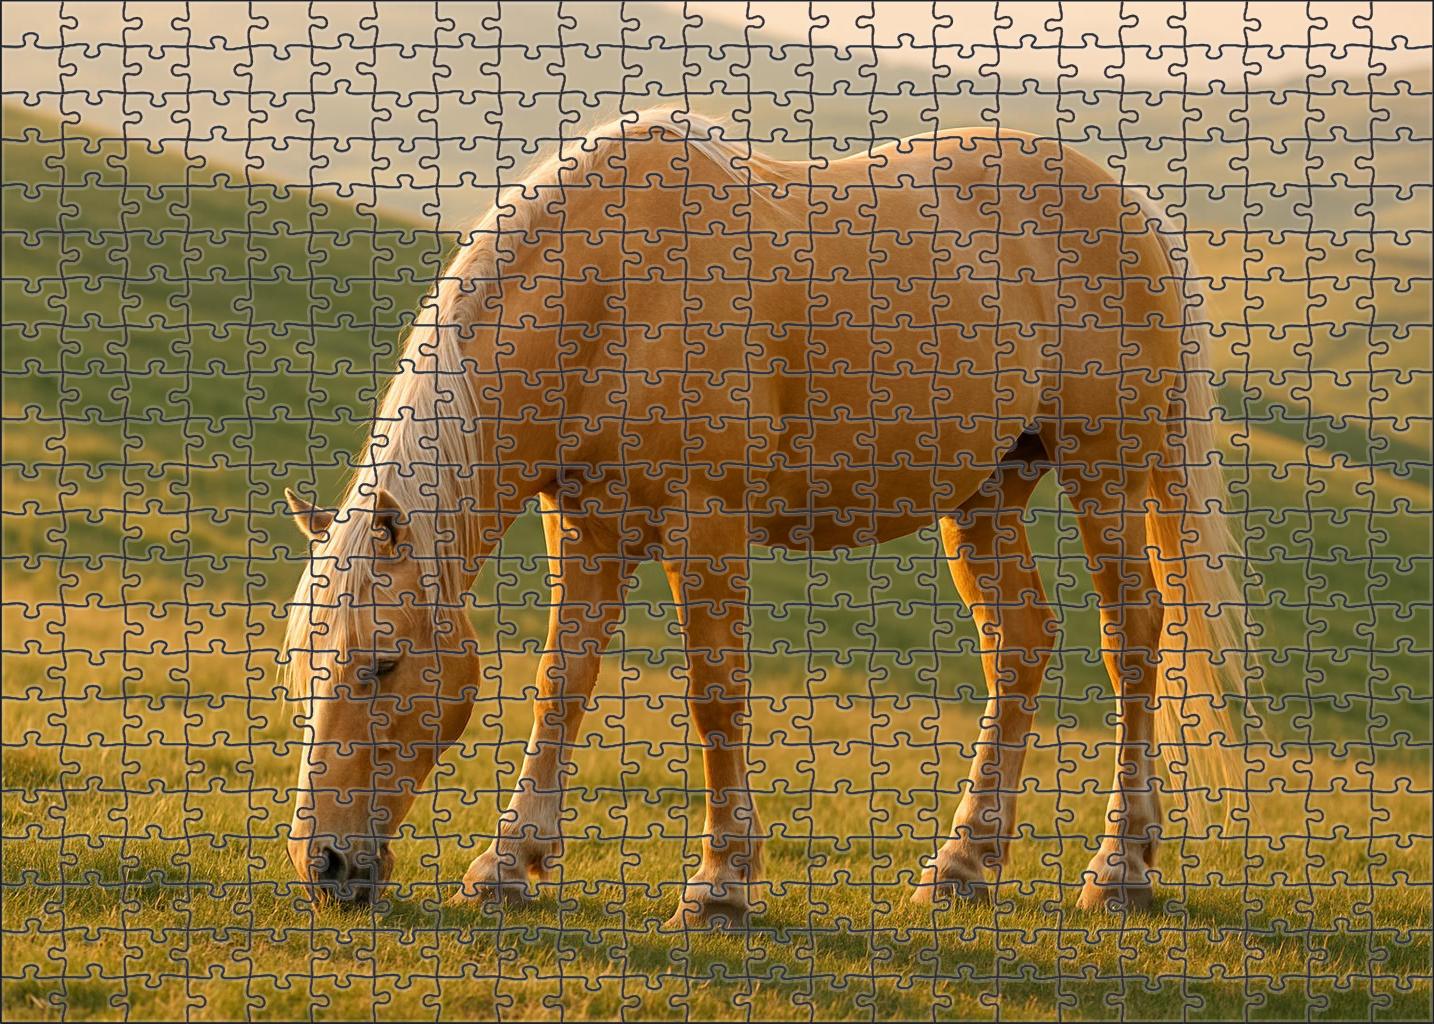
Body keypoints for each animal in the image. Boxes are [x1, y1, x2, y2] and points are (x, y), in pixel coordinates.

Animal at [281, 109, 1247, 926]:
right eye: (305, 669)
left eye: (382, 663)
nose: (323, 865)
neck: (614, 287)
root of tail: (1136, 211)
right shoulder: (590, 529)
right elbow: (564, 682)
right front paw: (507, 865)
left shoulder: (706, 524)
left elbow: (717, 696)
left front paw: (719, 885)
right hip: (985, 497)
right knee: (1021, 644)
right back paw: (963, 864)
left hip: (1106, 479)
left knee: (1135, 639)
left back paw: (1120, 867)